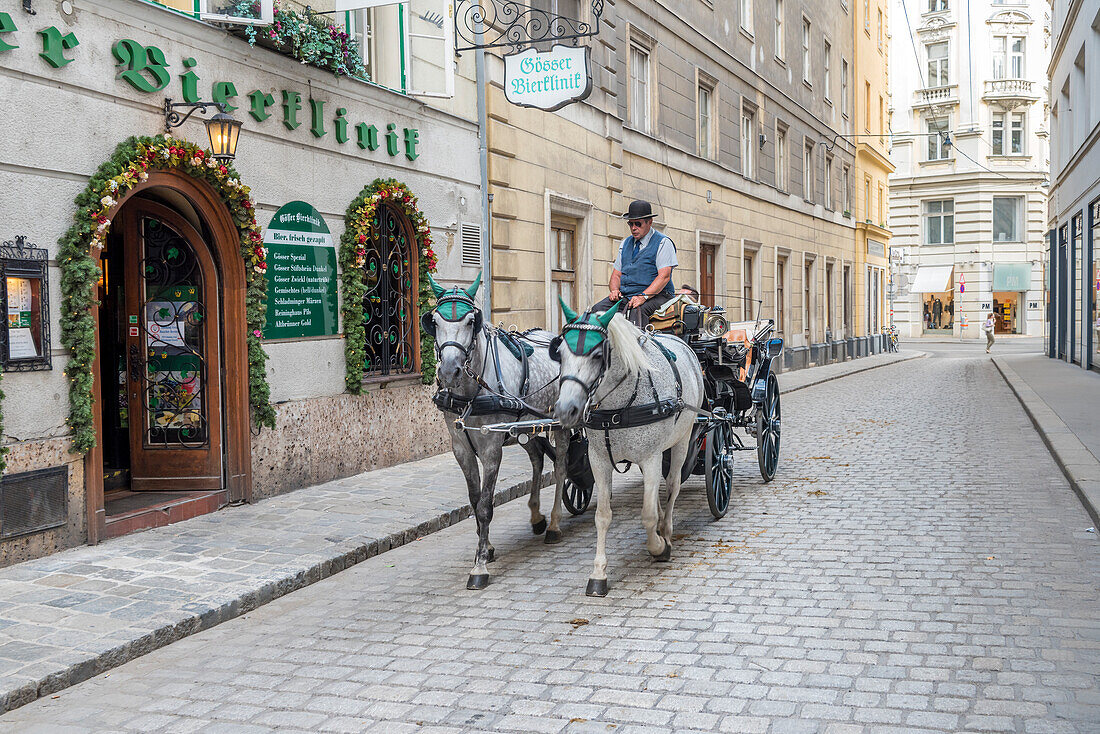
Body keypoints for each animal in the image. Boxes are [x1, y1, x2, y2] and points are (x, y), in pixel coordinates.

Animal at [422, 275, 567, 589]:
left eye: (470, 321)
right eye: (434, 321)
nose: (449, 371)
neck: (470, 393)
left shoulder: (491, 448)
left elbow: (486, 505)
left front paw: (479, 567)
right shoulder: (461, 448)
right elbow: (475, 500)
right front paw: (485, 548)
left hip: (561, 425)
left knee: (561, 467)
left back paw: (553, 524)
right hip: (525, 427)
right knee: (537, 457)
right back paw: (536, 516)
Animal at [550, 299, 704, 598]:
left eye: (597, 355)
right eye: (560, 353)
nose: (565, 409)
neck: (617, 407)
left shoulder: (652, 457)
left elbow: (647, 514)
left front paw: (659, 547)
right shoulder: (598, 460)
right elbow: (602, 516)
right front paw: (598, 573)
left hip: (682, 437)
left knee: (672, 485)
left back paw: (666, 529)